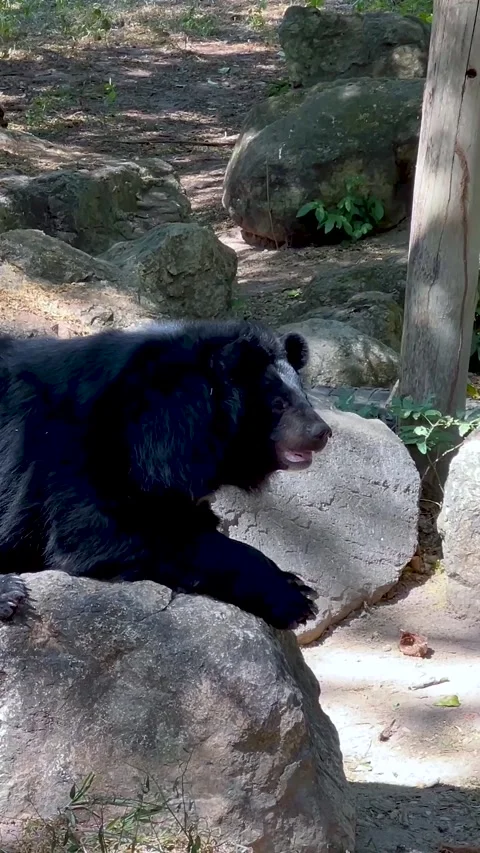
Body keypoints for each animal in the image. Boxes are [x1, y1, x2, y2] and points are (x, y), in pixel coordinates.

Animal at [0, 319, 331, 630]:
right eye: (278, 404)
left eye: (305, 398)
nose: (322, 432)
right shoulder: (77, 453)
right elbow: (101, 531)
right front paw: (293, 598)